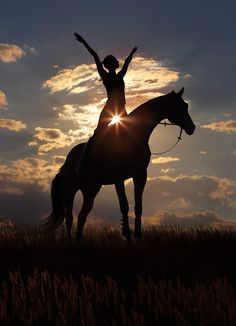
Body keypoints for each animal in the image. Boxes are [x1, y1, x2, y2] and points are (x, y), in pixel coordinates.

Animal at [42, 88, 195, 239]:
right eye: (181, 106)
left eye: (186, 105)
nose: (192, 128)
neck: (133, 136)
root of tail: (66, 163)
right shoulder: (118, 178)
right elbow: (124, 205)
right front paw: (126, 233)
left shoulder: (140, 175)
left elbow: (138, 206)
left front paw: (138, 234)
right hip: (70, 190)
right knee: (69, 218)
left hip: (91, 190)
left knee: (82, 216)